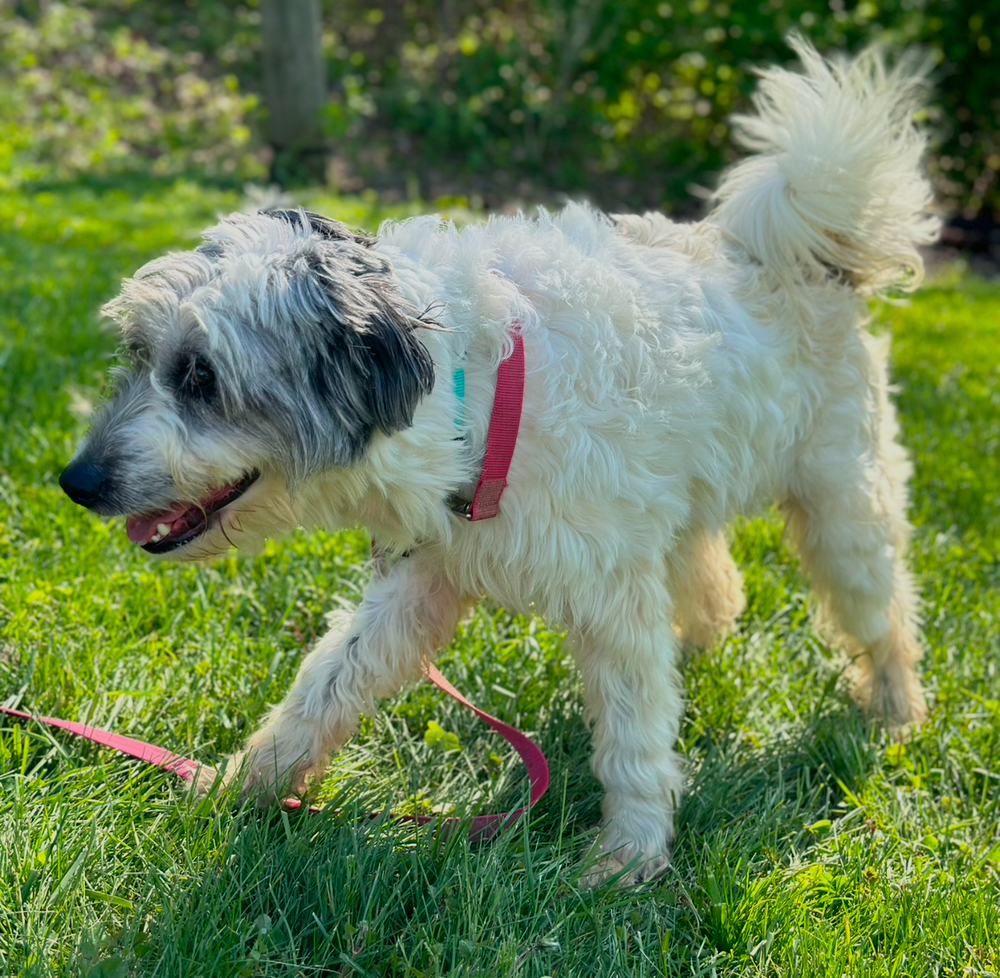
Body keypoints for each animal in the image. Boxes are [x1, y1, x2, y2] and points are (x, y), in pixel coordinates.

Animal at [62, 38, 936, 880]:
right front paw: (245, 783)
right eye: (138, 354)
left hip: (843, 513)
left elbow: (632, 737)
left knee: (883, 613)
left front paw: (630, 856)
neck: (467, 397)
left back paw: (897, 712)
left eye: (200, 376)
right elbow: (329, 683)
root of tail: (809, 254)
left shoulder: (609, 594)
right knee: (716, 586)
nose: (77, 483)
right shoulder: (422, 578)